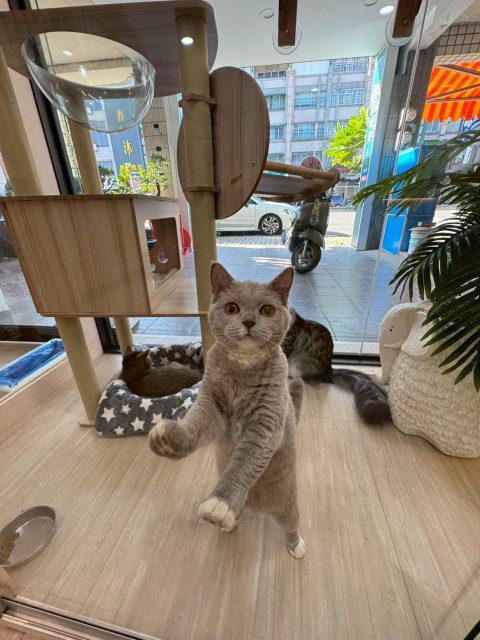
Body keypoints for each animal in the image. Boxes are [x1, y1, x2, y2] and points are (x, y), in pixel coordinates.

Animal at [149, 262, 306, 559]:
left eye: (267, 310)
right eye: (232, 308)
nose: (248, 321)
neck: (242, 371)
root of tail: (257, 507)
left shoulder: (266, 422)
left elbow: (245, 461)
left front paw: (218, 503)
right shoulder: (212, 402)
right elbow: (197, 422)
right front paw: (170, 440)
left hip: (287, 501)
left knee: (291, 522)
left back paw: (296, 546)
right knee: (242, 513)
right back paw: (231, 520)